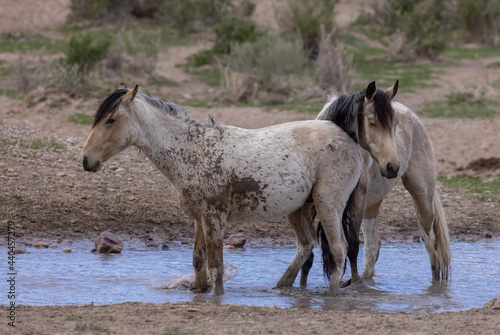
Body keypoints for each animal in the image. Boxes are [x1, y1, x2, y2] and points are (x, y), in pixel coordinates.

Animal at [83, 84, 364, 296]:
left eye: (110, 120)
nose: (86, 160)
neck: (192, 152)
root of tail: (345, 137)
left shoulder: (214, 218)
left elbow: (216, 265)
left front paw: (217, 297)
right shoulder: (199, 219)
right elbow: (199, 260)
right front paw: (199, 291)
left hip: (329, 206)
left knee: (338, 251)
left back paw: (331, 296)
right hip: (299, 209)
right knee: (306, 246)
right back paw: (280, 286)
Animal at [292, 80, 450, 288]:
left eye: (395, 125)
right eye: (372, 122)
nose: (393, 166)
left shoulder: (357, 199)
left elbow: (352, 247)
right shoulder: (311, 205)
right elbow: (307, 253)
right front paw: (302, 289)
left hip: (421, 196)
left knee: (432, 246)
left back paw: (436, 286)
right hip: (372, 205)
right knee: (374, 246)